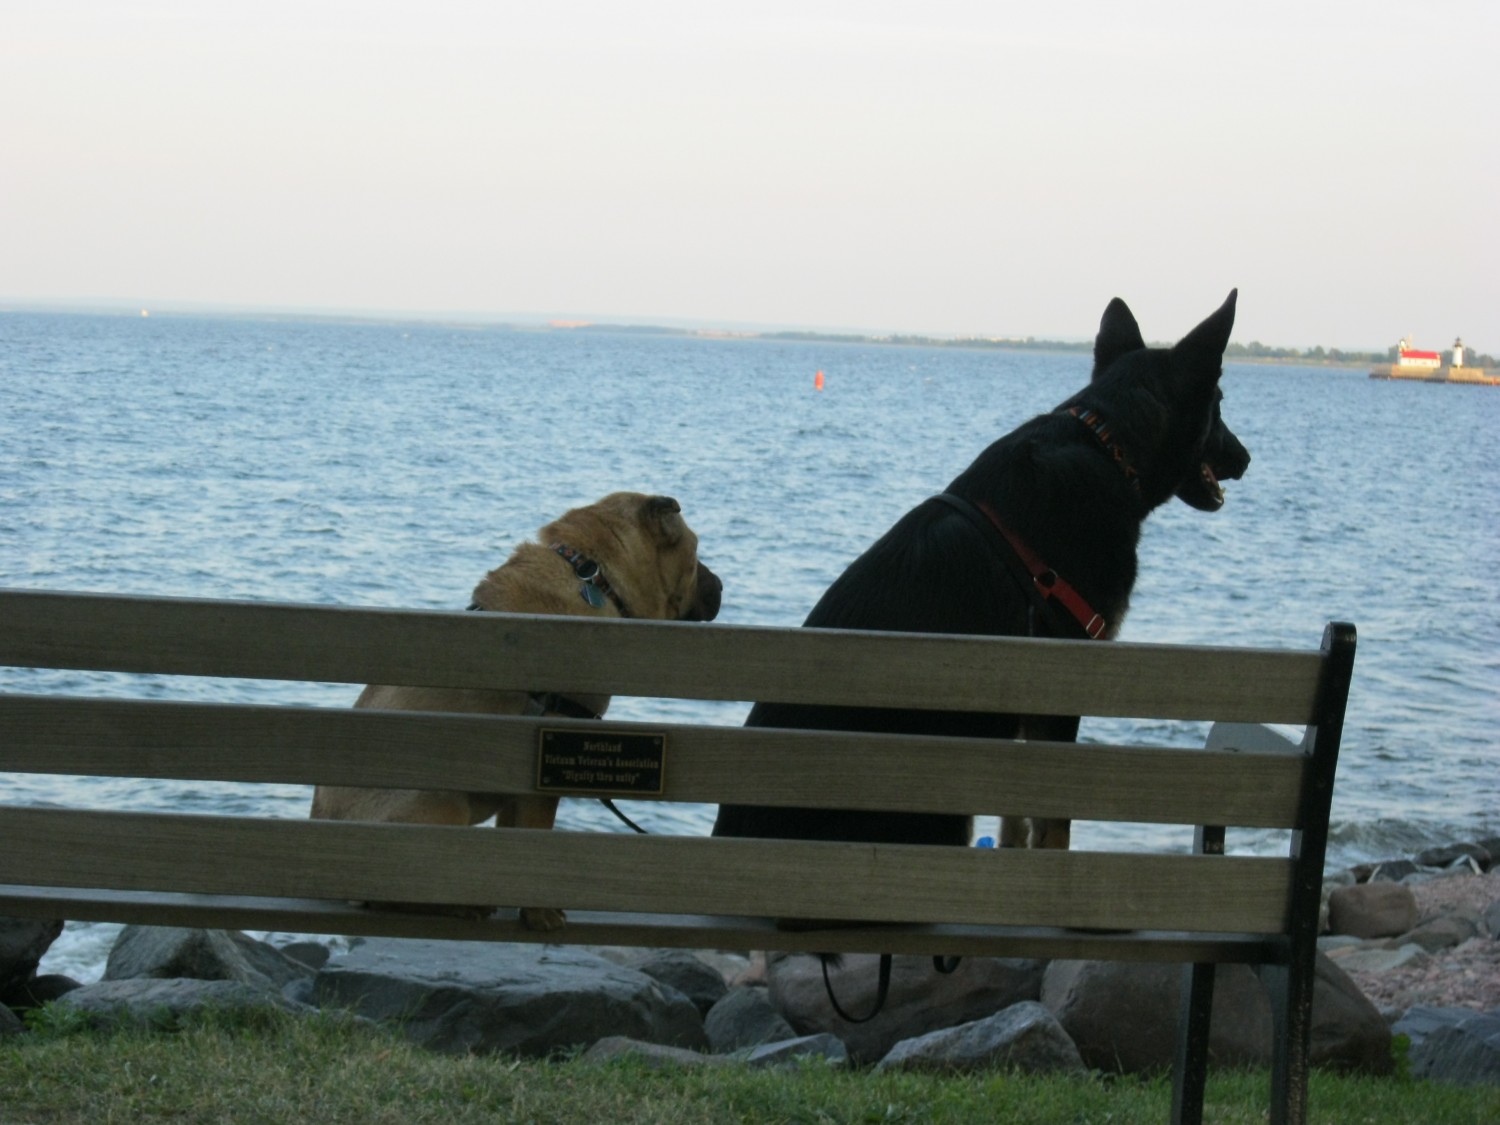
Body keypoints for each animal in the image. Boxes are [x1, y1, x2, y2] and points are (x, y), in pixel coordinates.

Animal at [309, 495, 720, 936]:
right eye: (696, 555)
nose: (721, 585)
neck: (594, 576)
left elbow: (514, 844)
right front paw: (539, 913)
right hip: (442, 805)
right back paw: (460, 906)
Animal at [714, 291, 1254, 852]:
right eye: (1220, 405)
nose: (1247, 457)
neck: (1108, 442)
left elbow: (1016, 818)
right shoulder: (1064, 686)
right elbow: (1052, 826)